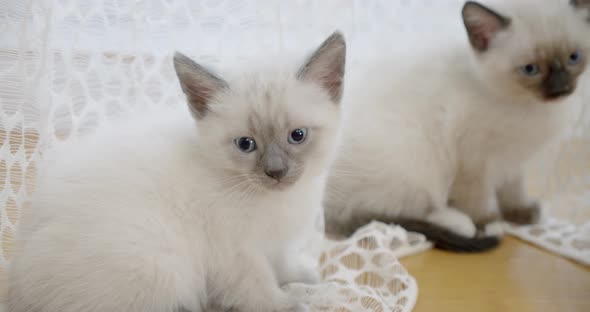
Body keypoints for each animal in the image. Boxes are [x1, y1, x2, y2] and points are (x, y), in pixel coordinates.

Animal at [6, 31, 350, 310]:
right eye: (245, 144)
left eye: (298, 135)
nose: (276, 172)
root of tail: (17, 289)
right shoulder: (236, 254)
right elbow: (260, 289)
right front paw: (292, 301)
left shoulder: (270, 243)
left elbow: (282, 264)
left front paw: (305, 276)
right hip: (159, 267)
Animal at [326, 0, 588, 252]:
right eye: (531, 69)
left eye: (574, 57)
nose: (561, 88)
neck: (529, 106)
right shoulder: (474, 161)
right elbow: (479, 201)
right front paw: (490, 223)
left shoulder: (512, 160)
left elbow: (513, 190)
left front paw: (520, 213)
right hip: (419, 160)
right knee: (384, 216)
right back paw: (462, 224)